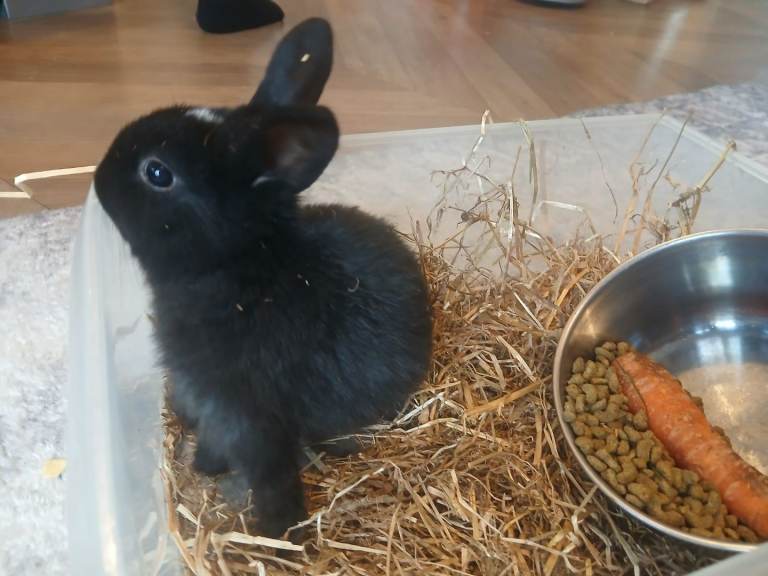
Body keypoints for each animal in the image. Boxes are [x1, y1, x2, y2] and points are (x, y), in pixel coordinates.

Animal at [94, 18, 432, 539]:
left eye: (157, 172)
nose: (95, 178)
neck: (238, 268)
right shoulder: (213, 403)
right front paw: (206, 468)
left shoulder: (247, 413)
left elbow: (270, 475)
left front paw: (278, 533)